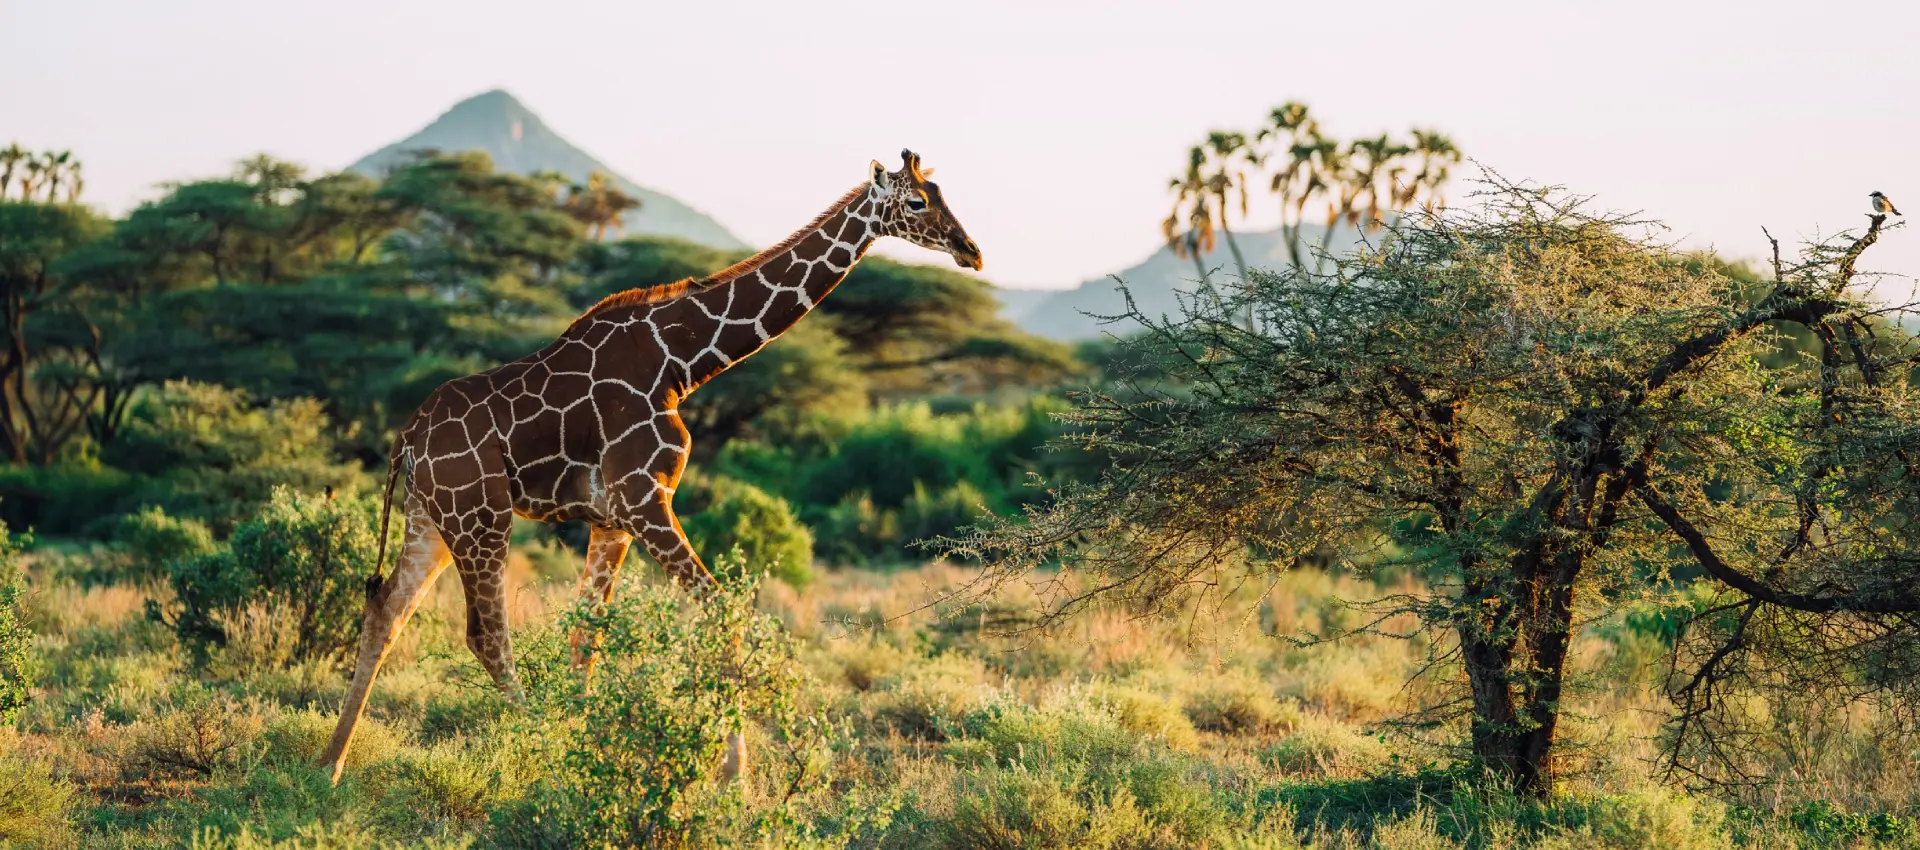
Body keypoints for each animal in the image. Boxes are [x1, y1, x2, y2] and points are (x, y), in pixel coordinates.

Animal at [315, 150, 981, 784]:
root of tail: (407, 438)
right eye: (918, 202)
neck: (680, 362)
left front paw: (589, 747)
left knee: (386, 609)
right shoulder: (643, 498)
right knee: (485, 634)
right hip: (481, 517)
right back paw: (539, 746)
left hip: (432, 518)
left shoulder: (612, 518)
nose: (971, 251)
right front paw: (731, 776)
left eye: (943, 193)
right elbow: (719, 610)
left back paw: (331, 764)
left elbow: (587, 633)